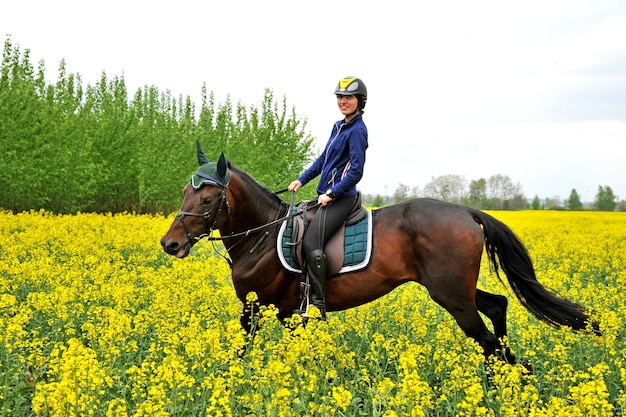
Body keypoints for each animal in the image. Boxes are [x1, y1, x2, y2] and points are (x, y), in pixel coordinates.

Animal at [160, 142, 596, 360]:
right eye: (184, 192)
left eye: (207, 200)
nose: (170, 244)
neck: (262, 236)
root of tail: (467, 212)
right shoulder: (282, 313)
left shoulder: (258, 307)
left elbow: (241, 352)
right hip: (457, 290)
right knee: (498, 306)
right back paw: (517, 376)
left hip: (452, 296)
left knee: (486, 339)